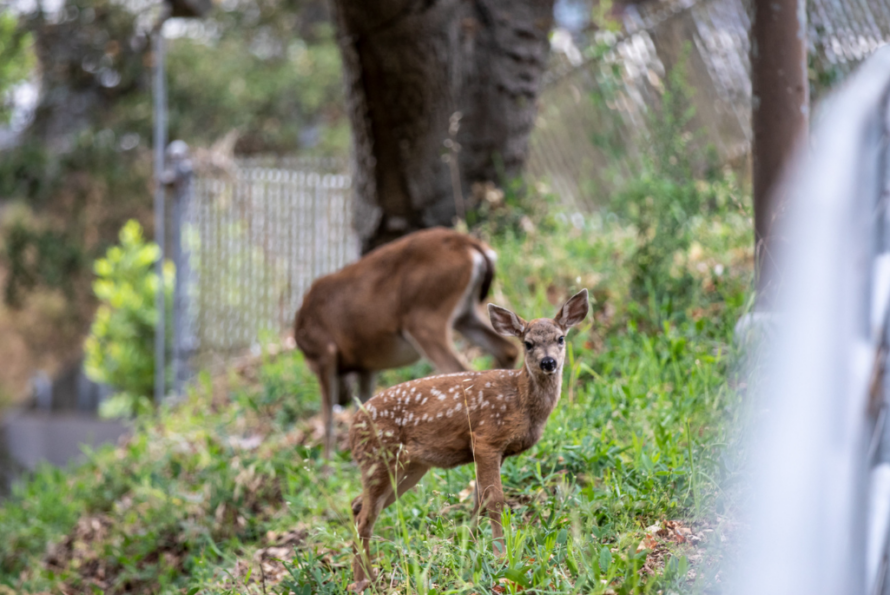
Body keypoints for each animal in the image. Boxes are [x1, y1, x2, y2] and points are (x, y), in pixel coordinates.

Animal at [294, 227, 512, 456]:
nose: (341, 399)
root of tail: (467, 243)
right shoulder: (367, 365)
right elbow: (362, 412)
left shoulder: (323, 353)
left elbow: (327, 420)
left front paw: (328, 464)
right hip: (464, 314)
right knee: (506, 350)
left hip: (424, 316)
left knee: (462, 371)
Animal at [348, 290, 588, 592]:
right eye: (528, 343)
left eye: (560, 338)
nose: (549, 362)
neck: (520, 399)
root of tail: (351, 428)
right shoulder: (487, 438)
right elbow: (494, 501)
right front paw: (500, 557)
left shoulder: (490, 451)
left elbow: (479, 502)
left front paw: (470, 551)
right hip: (379, 459)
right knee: (365, 519)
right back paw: (362, 582)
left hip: (410, 468)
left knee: (358, 505)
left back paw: (370, 575)